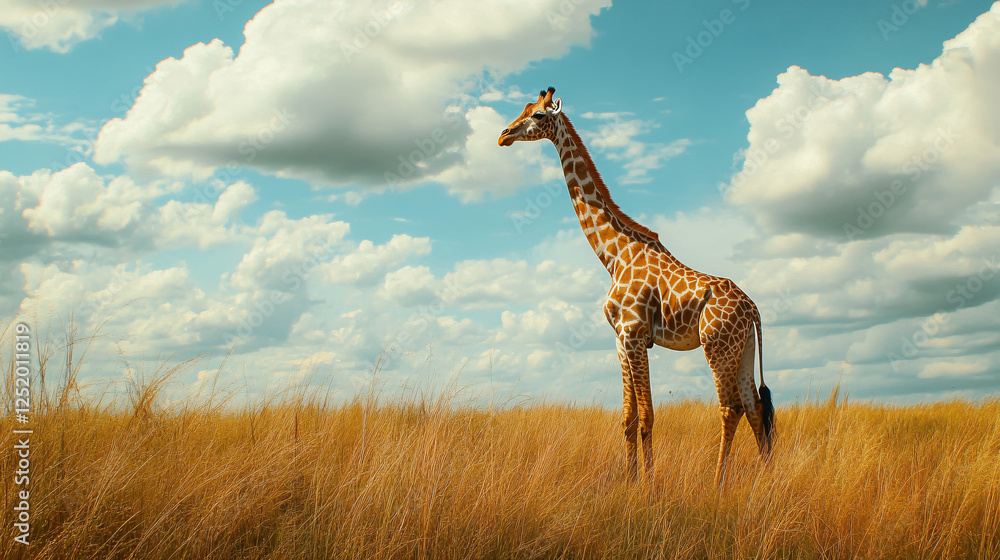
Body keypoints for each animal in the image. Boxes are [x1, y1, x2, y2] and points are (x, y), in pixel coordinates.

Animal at [498, 87, 774, 485]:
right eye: (524, 108)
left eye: (537, 115)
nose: (503, 135)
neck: (615, 256)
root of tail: (752, 307)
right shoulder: (619, 338)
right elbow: (627, 419)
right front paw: (629, 482)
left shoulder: (634, 334)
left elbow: (647, 417)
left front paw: (649, 487)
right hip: (745, 346)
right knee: (755, 405)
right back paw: (767, 479)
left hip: (717, 345)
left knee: (731, 407)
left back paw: (717, 482)